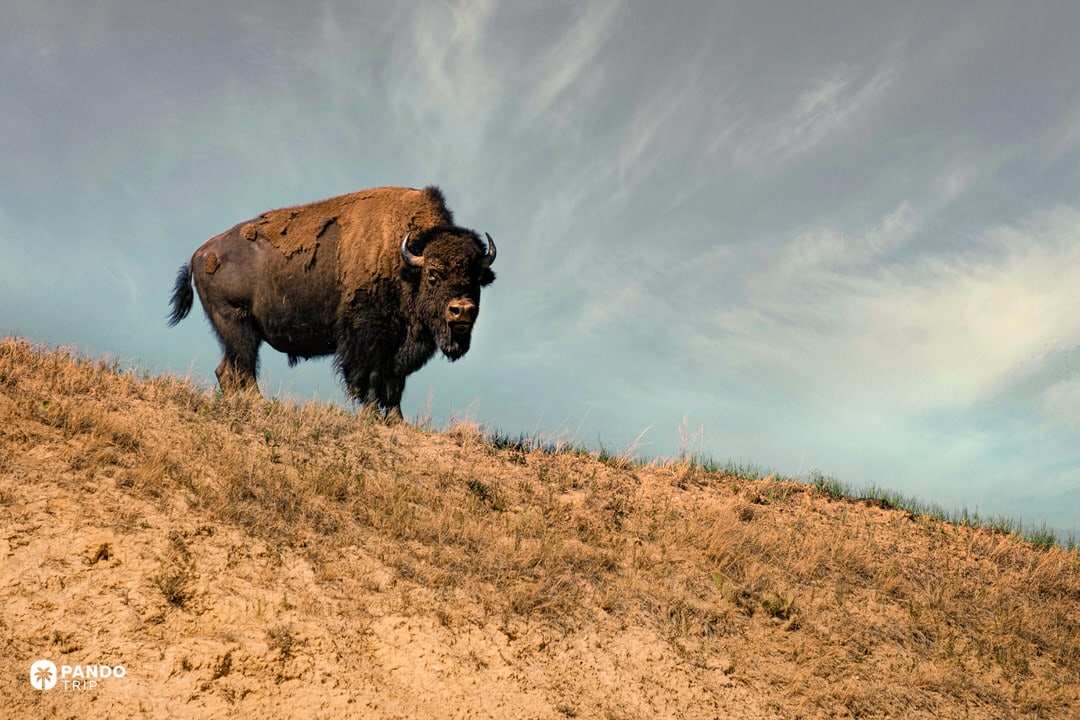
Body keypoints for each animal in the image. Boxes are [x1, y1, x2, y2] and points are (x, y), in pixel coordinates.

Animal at [168, 186, 496, 422]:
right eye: (433, 274)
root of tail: (201, 252)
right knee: (244, 367)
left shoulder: (398, 346)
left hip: (237, 332)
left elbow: (395, 384)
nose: (462, 311)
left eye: (476, 277)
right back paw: (259, 403)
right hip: (237, 325)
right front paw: (371, 416)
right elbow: (371, 379)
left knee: (228, 369)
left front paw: (397, 421)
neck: (406, 263)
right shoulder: (368, 339)